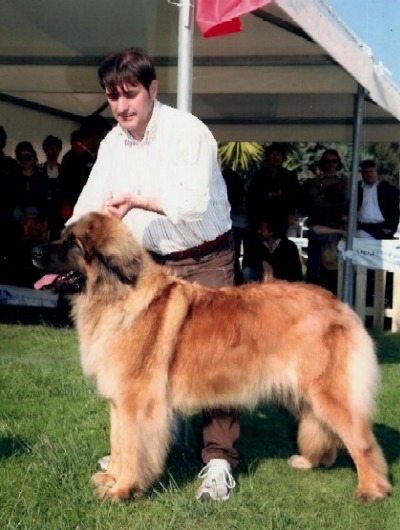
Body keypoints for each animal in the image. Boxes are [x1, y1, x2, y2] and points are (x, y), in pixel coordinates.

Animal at [32, 211, 392, 503]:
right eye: (62, 236)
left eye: (72, 243)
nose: (34, 251)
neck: (116, 295)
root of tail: (339, 304)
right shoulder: (119, 402)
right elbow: (118, 443)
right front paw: (111, 478)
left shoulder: (137, 403)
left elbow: (132, 449)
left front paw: (123, 490)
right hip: (301, 392)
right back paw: (309, 462)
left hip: (329, 392)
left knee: (362, 441)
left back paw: (373, 489)